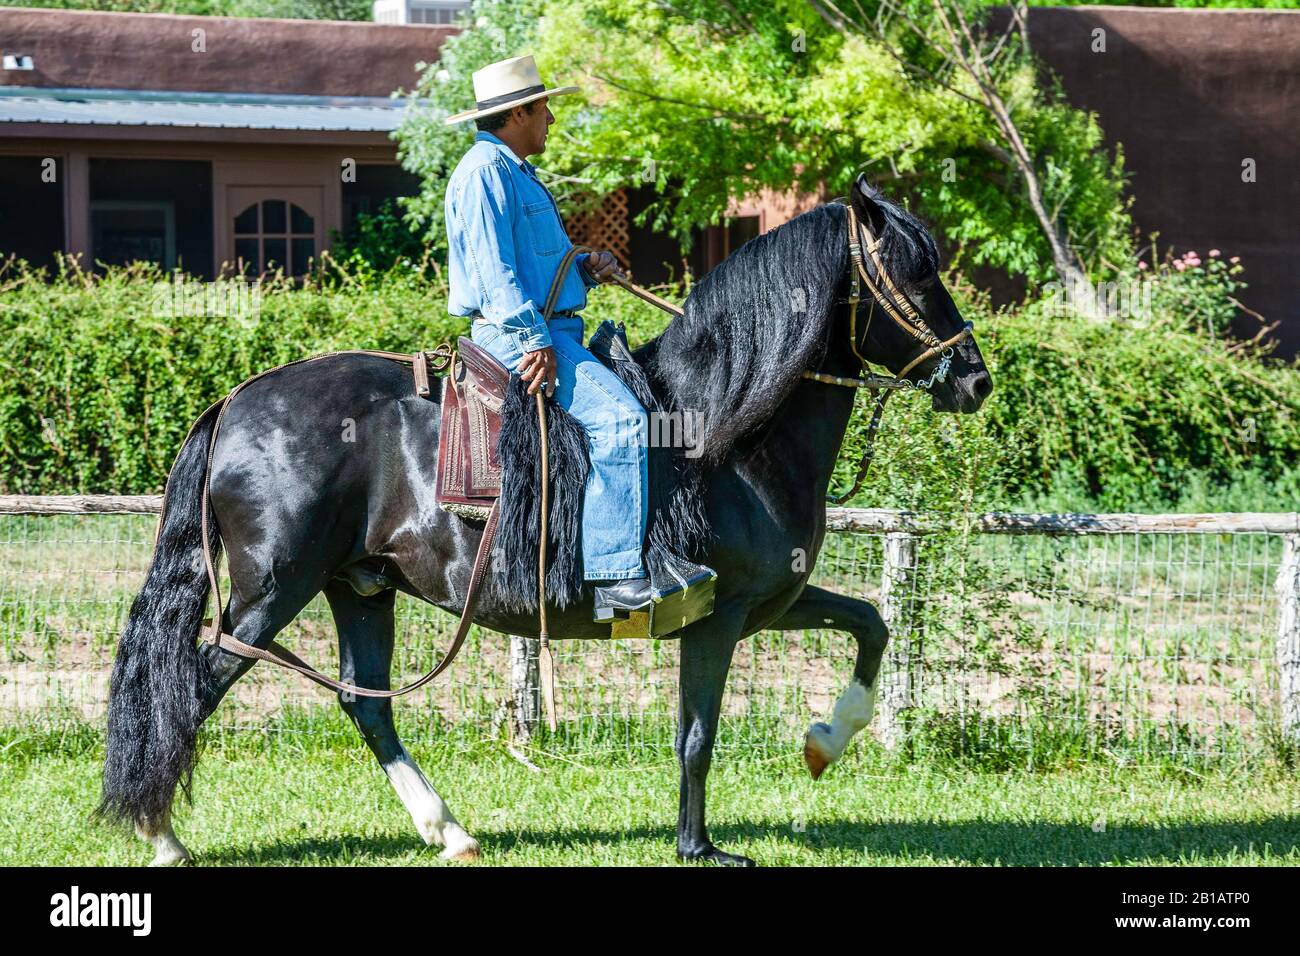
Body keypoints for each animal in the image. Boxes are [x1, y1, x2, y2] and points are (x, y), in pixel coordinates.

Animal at [101, 178, 987, 868]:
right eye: (914, 275)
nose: (975, 380)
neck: (723, 432)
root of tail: (234, 402)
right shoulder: (719, 613)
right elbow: (697, 735)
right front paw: (699, 846)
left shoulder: (771, 602)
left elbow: (871, 624)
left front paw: (827, 740)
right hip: (269, 594)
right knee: (194, 688)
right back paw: (161, 836)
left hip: (359, 588)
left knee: (366, 703)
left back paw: (449, 831)